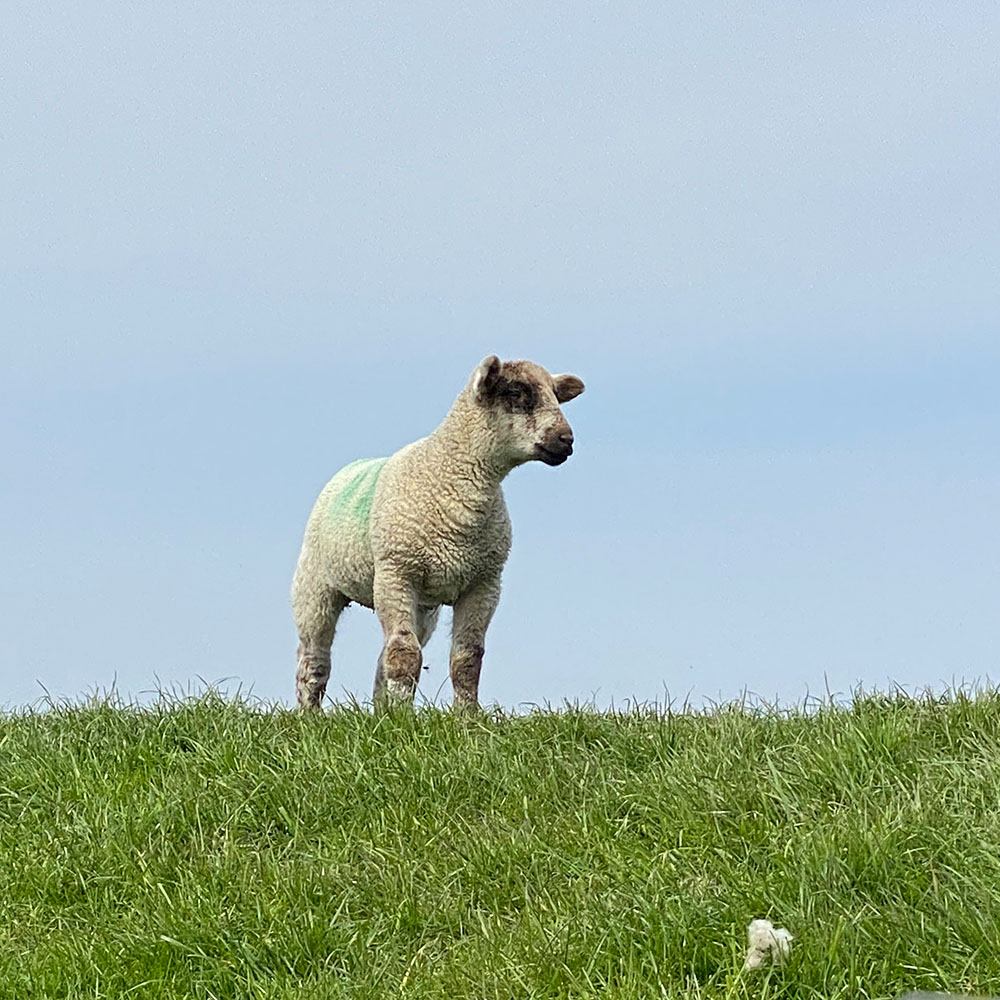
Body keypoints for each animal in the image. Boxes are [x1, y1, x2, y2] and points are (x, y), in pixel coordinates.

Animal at [290, 356, 584, 708]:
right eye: (515, 392)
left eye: (555, 395)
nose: (566, 440)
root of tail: (351, 467)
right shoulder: (397, 573)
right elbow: (404, 653)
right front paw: (404, 717)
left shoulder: (484, 583)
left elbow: (467, 659)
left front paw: (466, 716)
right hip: (316, 587)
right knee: (314, 658)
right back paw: (310, 713)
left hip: (423, 606)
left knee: (383, 659)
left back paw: (383, 710)